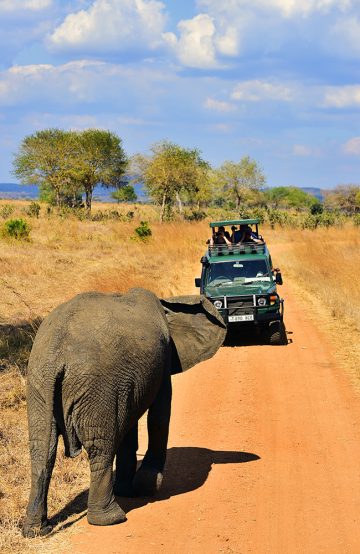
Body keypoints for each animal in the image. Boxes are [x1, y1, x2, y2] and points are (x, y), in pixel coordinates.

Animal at [22, 286, 226, 536]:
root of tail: (55, 354)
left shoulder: (125, 382)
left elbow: (128, 426)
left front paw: (128, 490)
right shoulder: (163, 357)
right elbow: (159, 416)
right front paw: (147, 486)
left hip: (39, 383)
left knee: (42, 448)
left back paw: (36, 530)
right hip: (96, 385)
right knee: (100, 446)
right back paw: (111, 518)